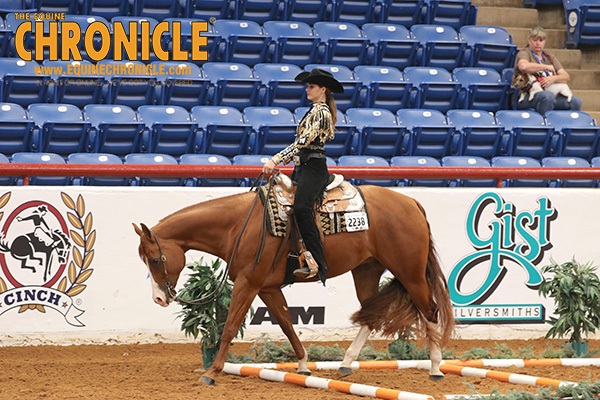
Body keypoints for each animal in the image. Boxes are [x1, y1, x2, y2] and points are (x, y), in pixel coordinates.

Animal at [134, 184, 452, 384]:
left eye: (155, 259)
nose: (160, 299)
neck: (238, 226)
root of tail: (412, 203)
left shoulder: (248, 284)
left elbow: (229, 328)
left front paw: (212, 372)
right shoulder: (267, 288)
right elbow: (287, 324)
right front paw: (302, 364)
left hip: (410, 273)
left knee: (430, 312)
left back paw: (436, 368)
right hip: (366, 270)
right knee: (370, 315)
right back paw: (346, 364)